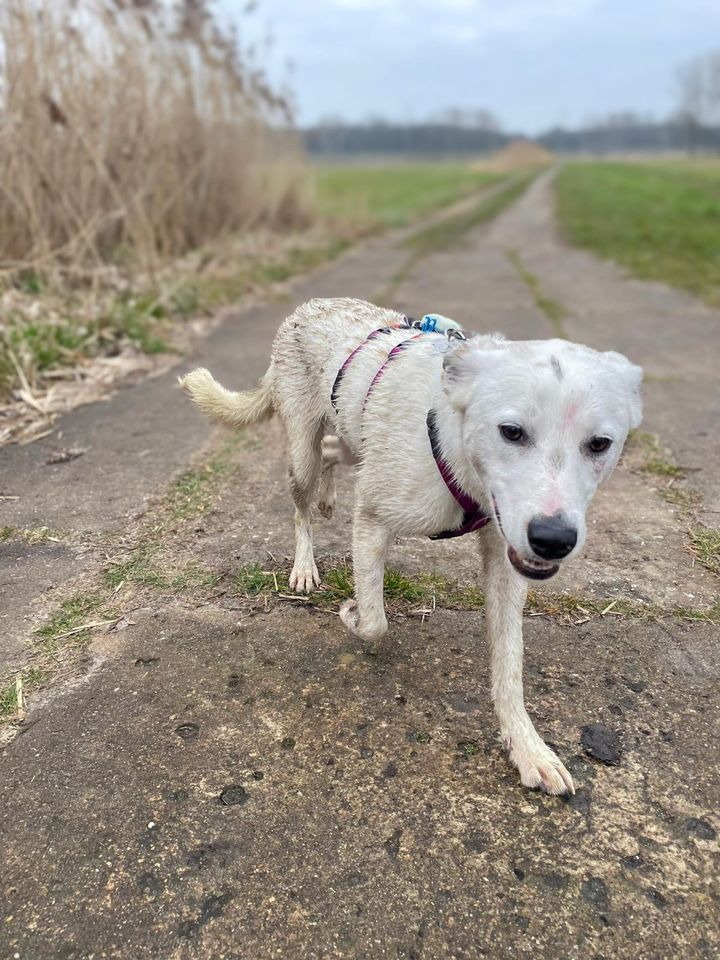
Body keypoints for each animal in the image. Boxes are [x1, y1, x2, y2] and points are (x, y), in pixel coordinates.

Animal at [183, 298, 644, 796]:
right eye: (511, 431)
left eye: (600, 443)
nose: (554, 540)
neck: (455, 445)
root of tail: (306, 307)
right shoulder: (372, 519)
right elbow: (374, 622)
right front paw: (352, 613)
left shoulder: (506, 559)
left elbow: (509, 665)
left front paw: (527, 747)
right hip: (301, 449)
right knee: (303, 501)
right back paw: (304, 563)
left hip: (351, 434)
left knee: (337, 450)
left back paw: (330, 490)